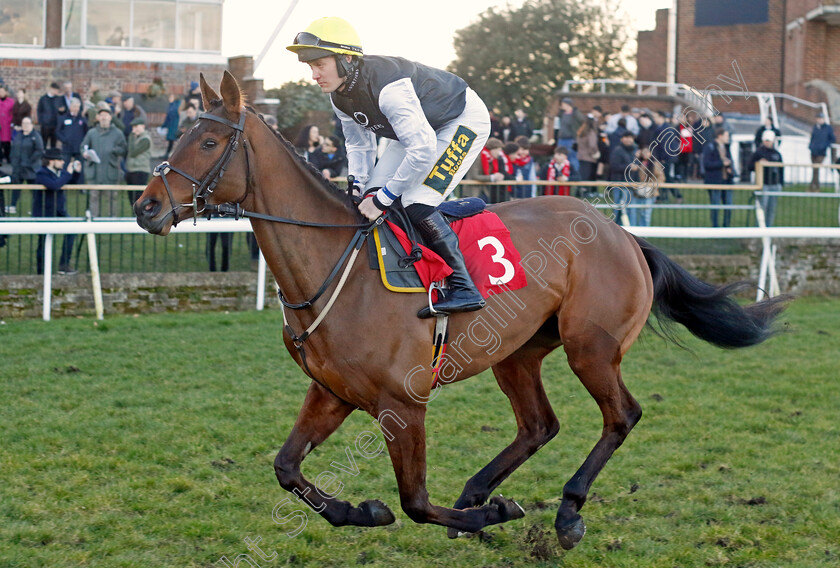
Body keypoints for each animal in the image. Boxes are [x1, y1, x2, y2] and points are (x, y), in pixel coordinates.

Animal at [133, 72, 788, 552]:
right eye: (180, 137)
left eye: (209, 142)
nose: (145, 207)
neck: (333, 269)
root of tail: (621, 234)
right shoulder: (333, 392)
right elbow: (286, 468)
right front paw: (363, 509)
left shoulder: (403, 403)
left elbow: (417, 503)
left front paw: (486, 516)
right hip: (518, 353)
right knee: (539, 425)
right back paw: (479, 490)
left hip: (591, 348)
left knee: (621, 415)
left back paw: (565, 512)